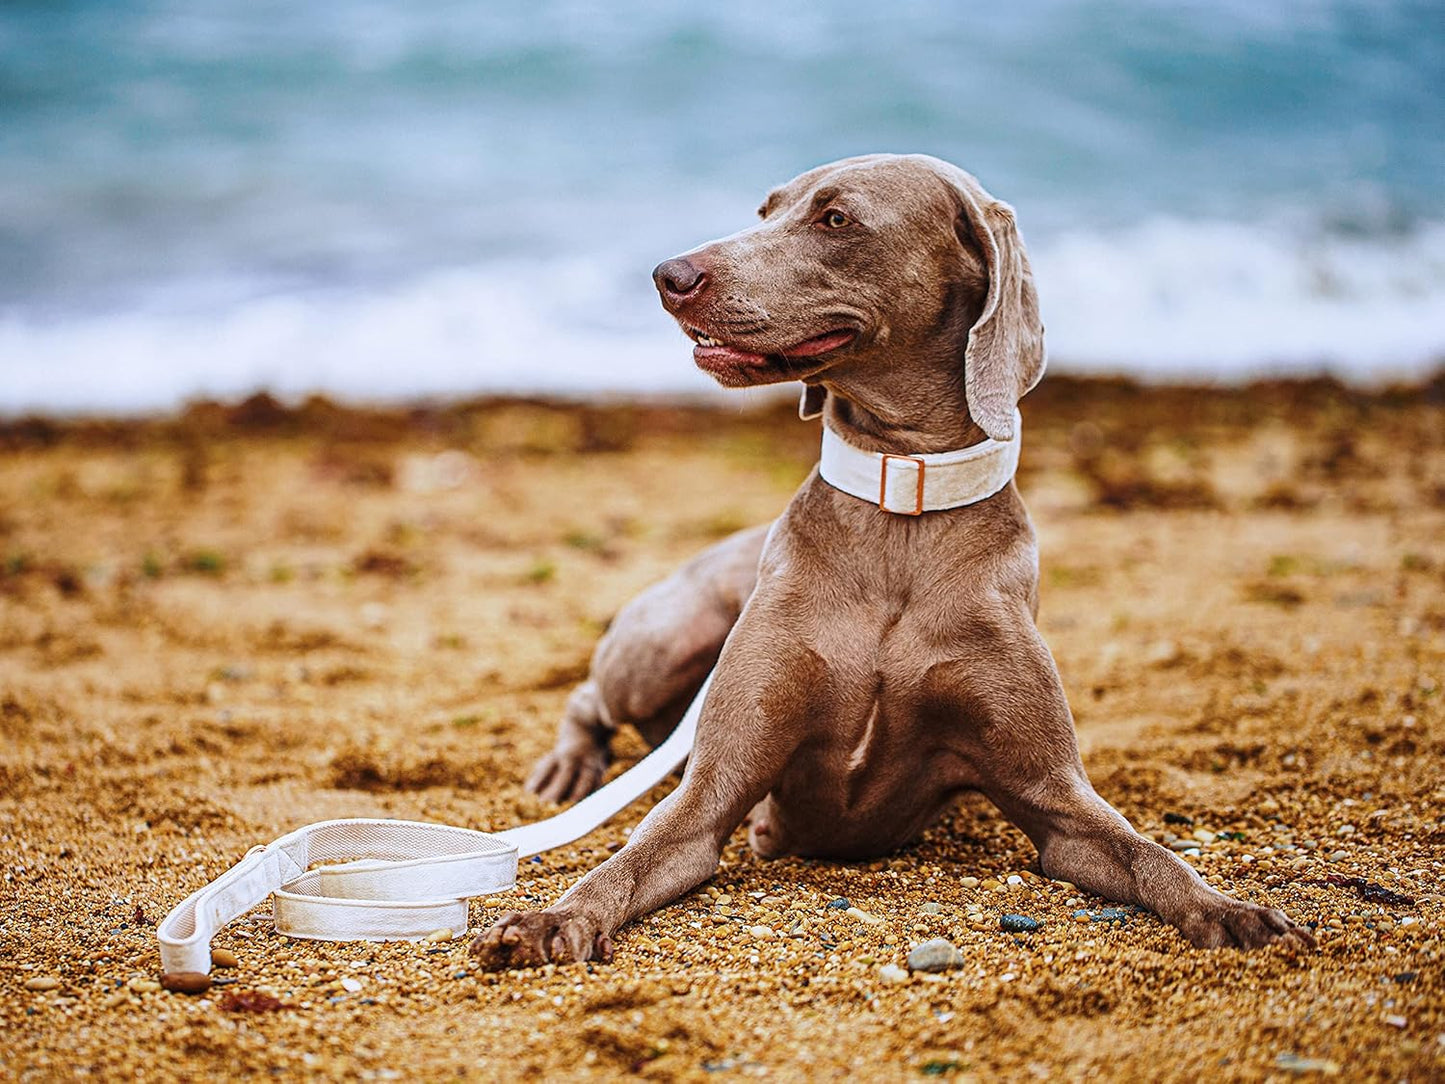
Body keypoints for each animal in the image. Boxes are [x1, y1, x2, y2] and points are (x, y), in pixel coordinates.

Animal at [471, 151, 1312, 965]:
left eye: (835, 219)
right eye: (764, 211)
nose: (667, 275)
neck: (901, 500)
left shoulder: (1058, 799)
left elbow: (1150, 856)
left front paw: (1230, 911)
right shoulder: (713, 789)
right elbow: (625, 860)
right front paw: (549, 920)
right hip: (664, 639)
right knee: (592, 696)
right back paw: (567, 767)